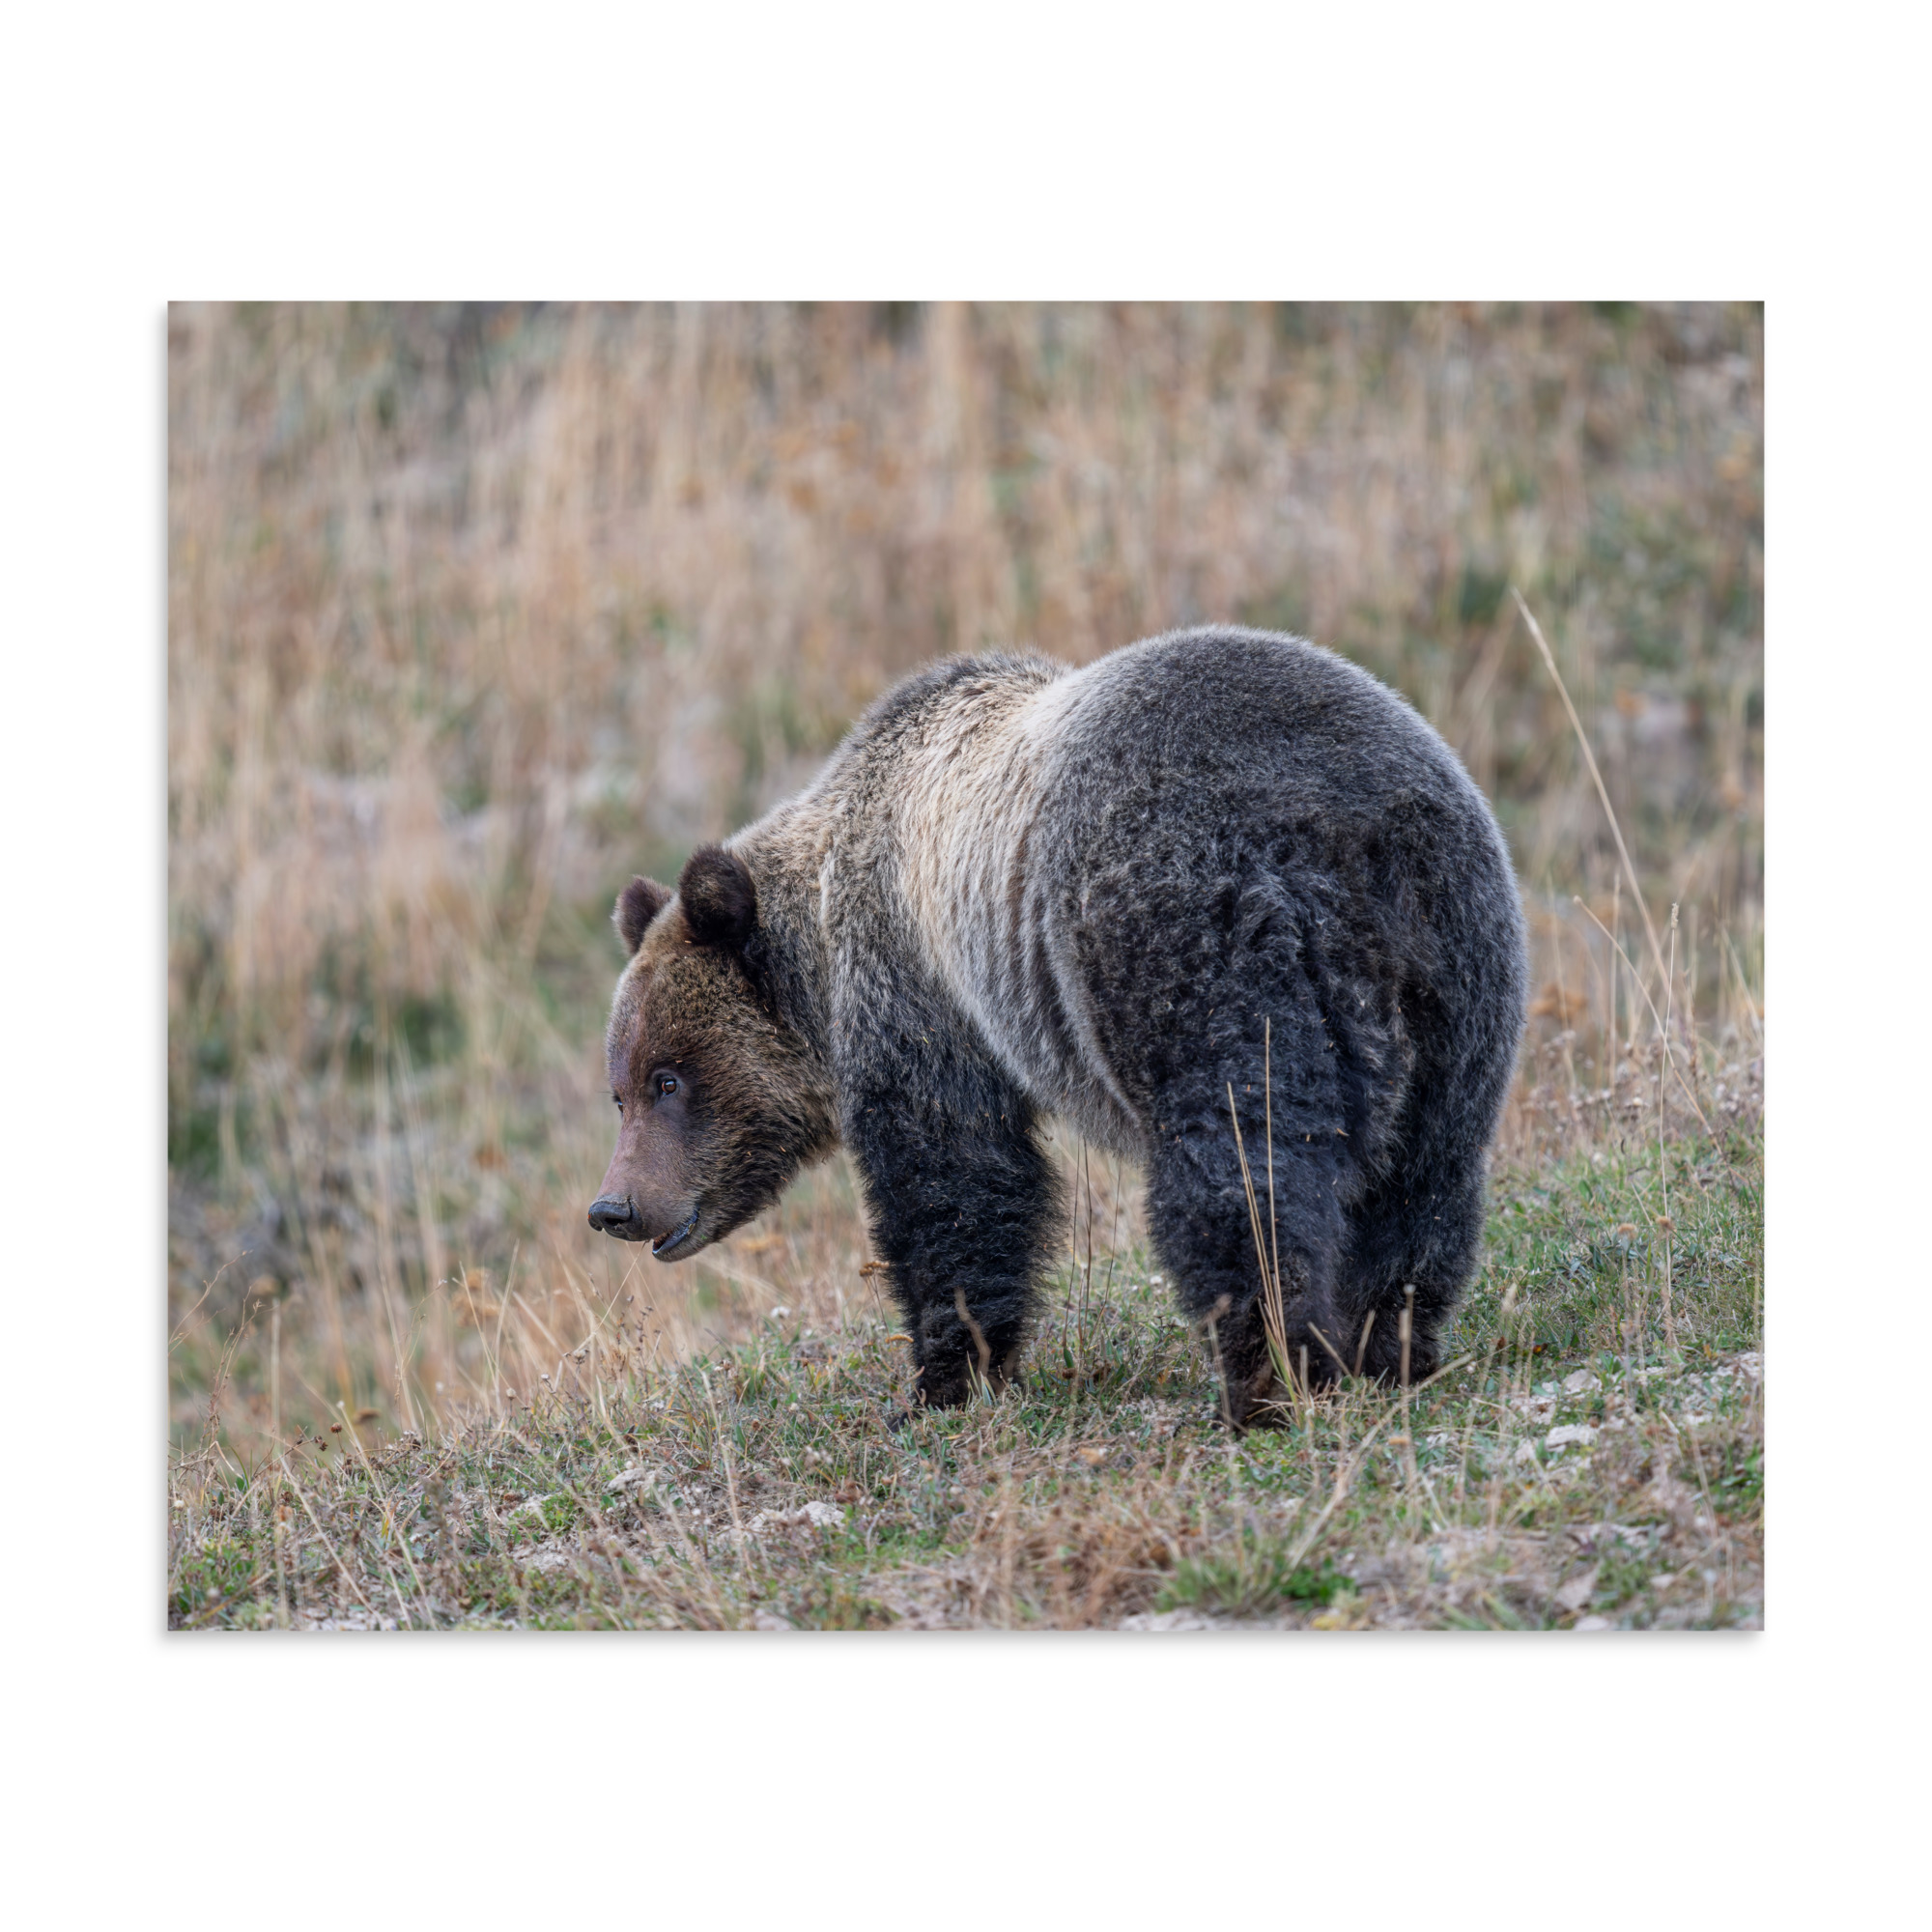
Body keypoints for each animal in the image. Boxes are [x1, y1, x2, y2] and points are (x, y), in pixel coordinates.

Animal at [589, 625, 1527, 1426]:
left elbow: (955, 1179)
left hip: (1190, 938)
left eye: (668, 1078)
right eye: (620, 1090)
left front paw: (942, 1379)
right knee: (1425, 1175)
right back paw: (1388, 1347)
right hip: (1457, 965)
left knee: (1242, 1168)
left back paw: (1266, 1379)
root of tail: (1342, 832)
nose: (614, 1206)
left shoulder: (920, 989)